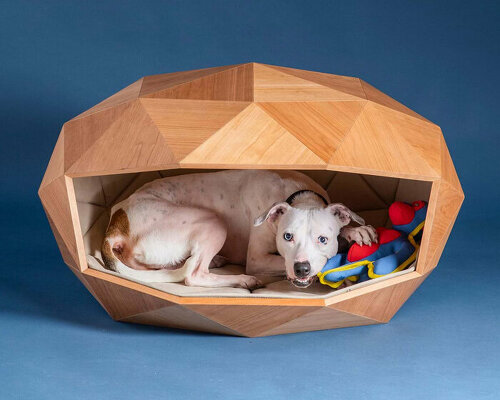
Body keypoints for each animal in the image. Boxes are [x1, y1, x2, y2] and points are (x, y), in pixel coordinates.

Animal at [100, 170, 376, 290]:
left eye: (323, 239)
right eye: (287, 237)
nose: (301, 269)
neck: (299, 196)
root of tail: (117, 220)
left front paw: (355, 231)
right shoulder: (257, 258)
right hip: (213, 221)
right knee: (193, 274)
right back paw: (243, 279)